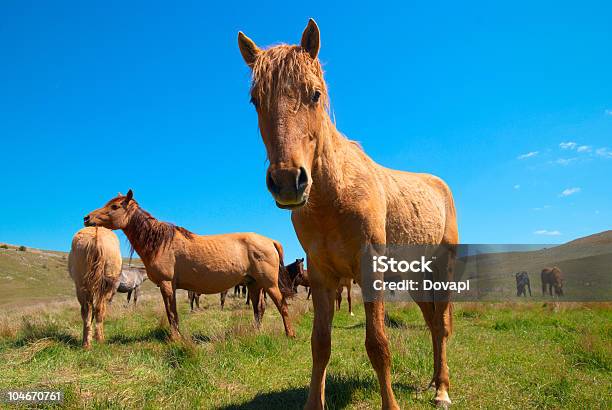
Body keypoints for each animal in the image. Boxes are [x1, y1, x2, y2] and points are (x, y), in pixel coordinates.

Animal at [84, 191, 296, 338]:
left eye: (115, 206)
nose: (87, 218)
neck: (160, 243)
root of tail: (270, 241)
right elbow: (173, 313)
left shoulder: (167, 285)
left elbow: (172, 314)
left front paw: (175, 338)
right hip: (254, 284)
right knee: (259, 309)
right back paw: (256, 333)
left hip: (269, 284)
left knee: (282, 306)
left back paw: (290, 334)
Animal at [239, 18, 460, 406]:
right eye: (255, 100)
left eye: (314, 94)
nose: (288, 181)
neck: (334, 197)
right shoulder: (322, 276)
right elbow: (320, 345)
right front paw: (314, 403)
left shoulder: (370, 271)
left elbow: (378, 345)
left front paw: (392, 404)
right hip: (417, 278)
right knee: (433, 324)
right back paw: (433, 381)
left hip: (441, 271)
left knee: (443, 326)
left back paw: (442, 390)